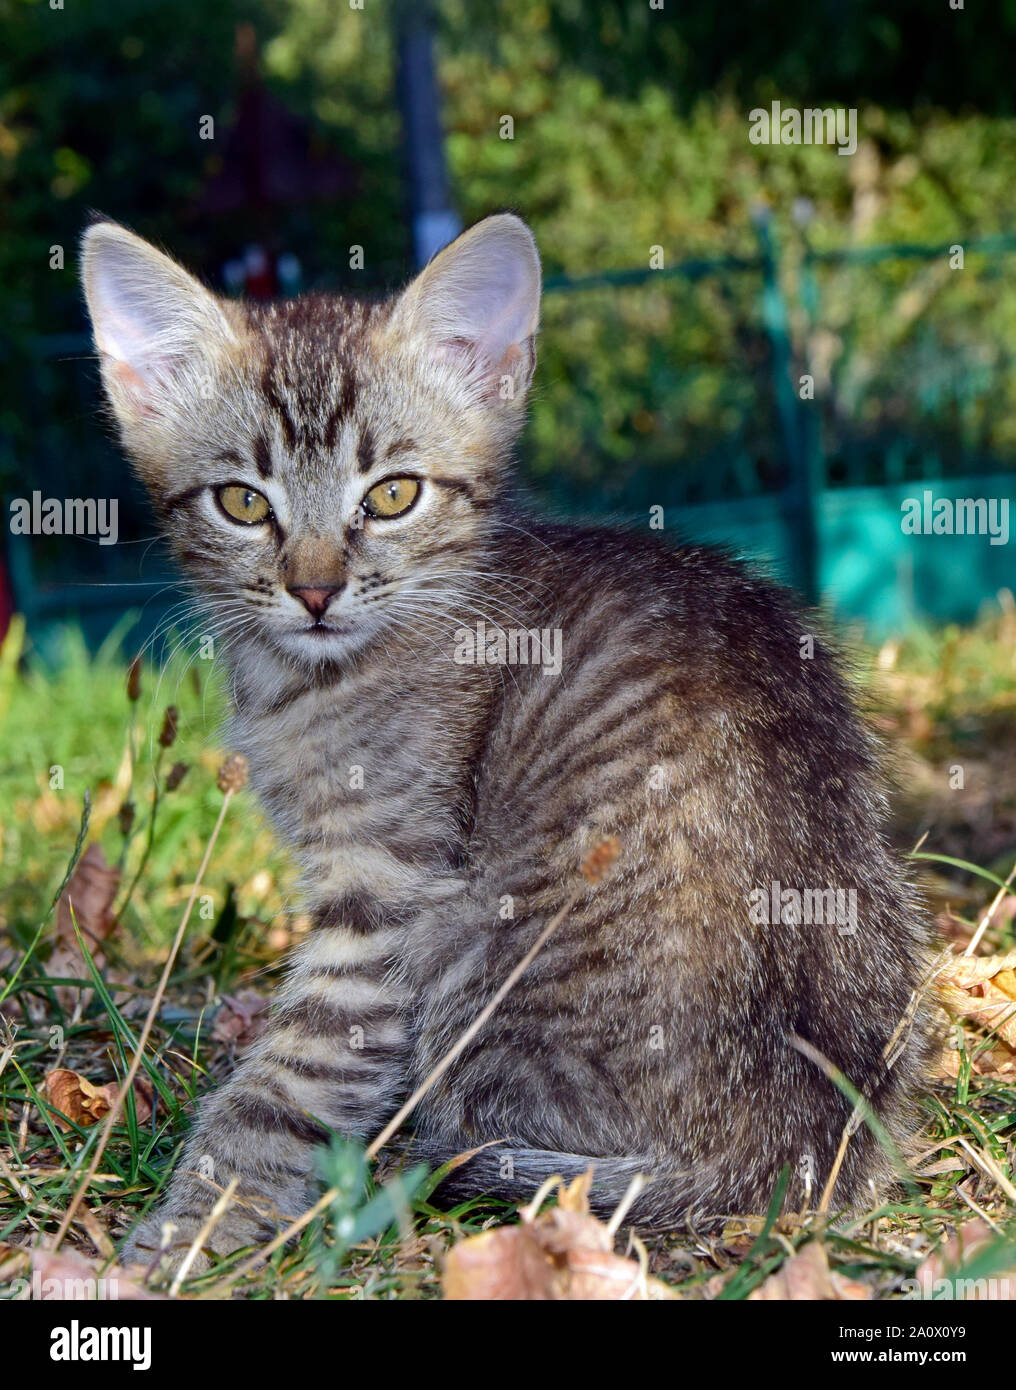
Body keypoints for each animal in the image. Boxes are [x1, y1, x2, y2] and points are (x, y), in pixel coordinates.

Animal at [83, 211, 933, 1267]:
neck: (314, 677)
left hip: (474, 945)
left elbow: (290, 1078)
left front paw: (185, 1233)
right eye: (243, 502)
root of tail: (801, 1138)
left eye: (393, 495)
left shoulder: (388, 893)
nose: (315, 589)